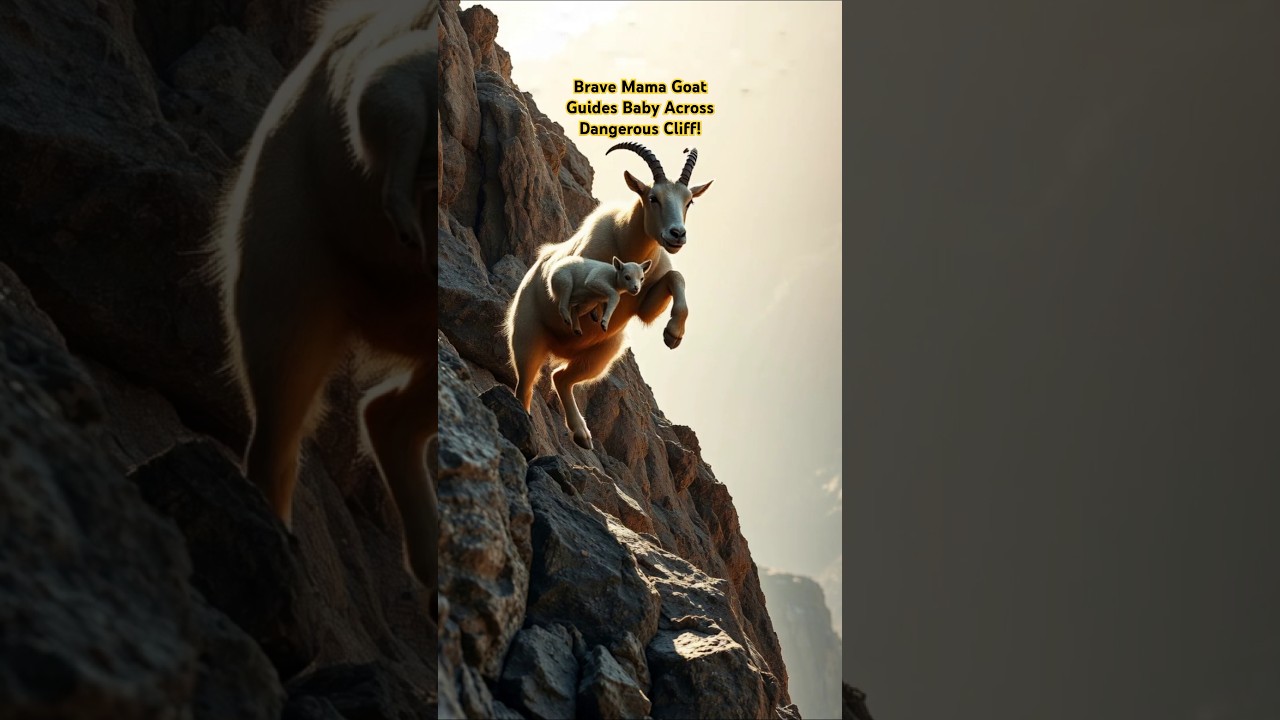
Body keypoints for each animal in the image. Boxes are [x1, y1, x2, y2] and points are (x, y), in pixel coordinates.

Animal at [505, 143, 713, 448]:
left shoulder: (645, 300)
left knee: (561, 377)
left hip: (603, 353)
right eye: (653, 197)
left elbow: (675, 278)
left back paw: (581, 434)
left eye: (689, 202)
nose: (677, 235)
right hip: (527, 337)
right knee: (526, 386)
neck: (627, 244)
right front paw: (591, 310)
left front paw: (673, 334)